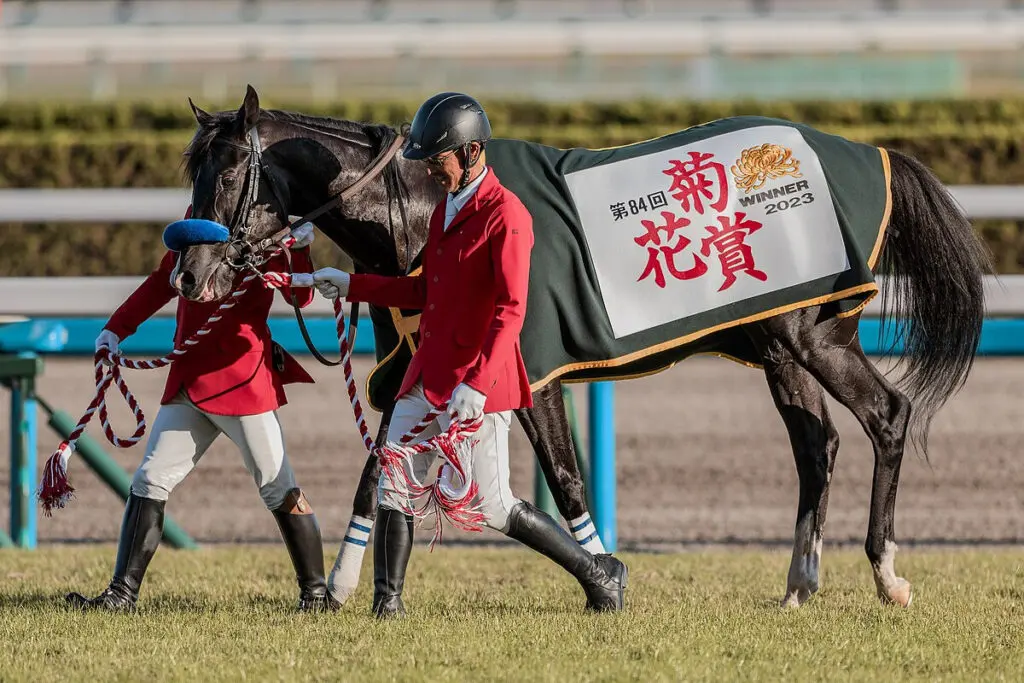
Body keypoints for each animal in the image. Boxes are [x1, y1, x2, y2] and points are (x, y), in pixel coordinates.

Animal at [175, 85, 990, 609]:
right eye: (194, 170)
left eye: (232, 172)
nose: (191, 270)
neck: (424, 209)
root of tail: (868, 152)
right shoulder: (418, 369)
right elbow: (377, 475)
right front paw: (338, 587)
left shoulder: (532, 373)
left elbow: (565, 480)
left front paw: (605, 578)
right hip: (780, 350)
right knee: (816, 446)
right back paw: (798, 583)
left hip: (814, 337)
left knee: (886, 416)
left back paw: (886, 573)